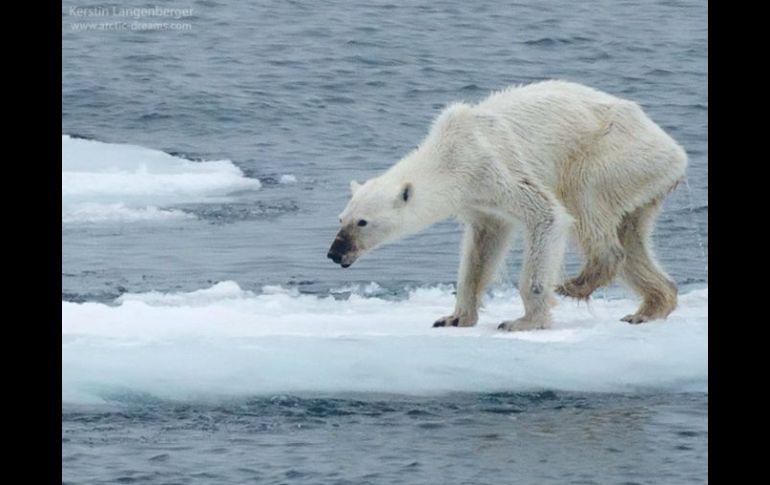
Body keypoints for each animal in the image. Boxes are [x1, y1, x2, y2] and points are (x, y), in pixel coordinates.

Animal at [324, 80, 684, 328]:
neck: (450, 153)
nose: (335, 253)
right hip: (642, 181)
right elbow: (482, 247)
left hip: (613, 155)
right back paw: (649, 307)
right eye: (341, 218)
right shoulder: (478, 200)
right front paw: (454, 318)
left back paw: (577, 283)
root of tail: (675, 151)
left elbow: (547, 214)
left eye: (362, 222)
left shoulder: (493, 166)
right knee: (632, 236)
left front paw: (523, 321)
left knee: (586, 200)